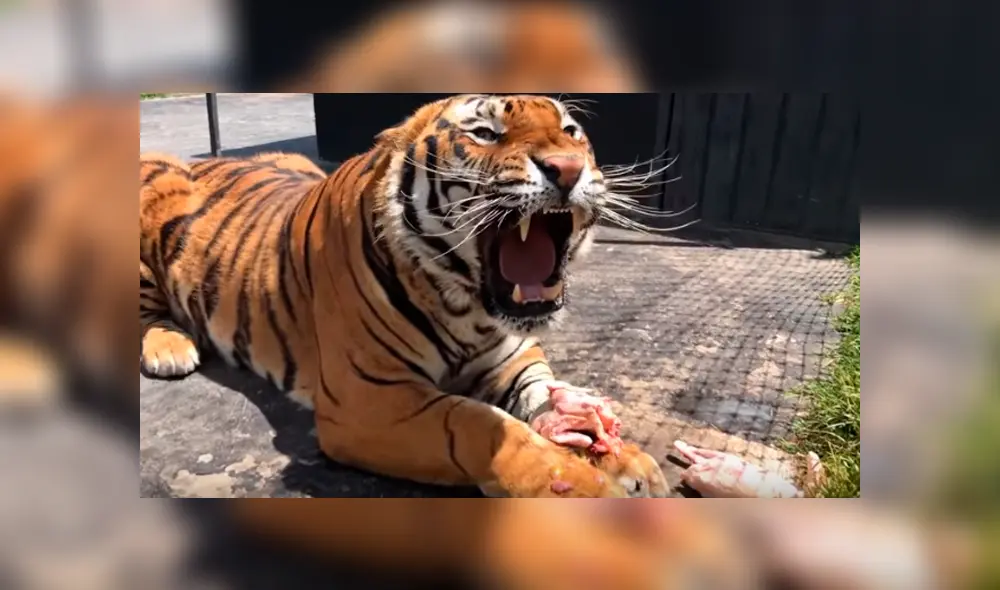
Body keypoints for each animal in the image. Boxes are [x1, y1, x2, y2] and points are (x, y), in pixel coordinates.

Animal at [140, 94, 667, 498]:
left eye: (570, 130)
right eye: (485, 133)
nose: (569, 168)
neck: (467, 307)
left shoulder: (511, 358)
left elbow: (544, 395)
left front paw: (626, 460)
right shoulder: (369, 399)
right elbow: (477, 424)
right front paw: (583, 488)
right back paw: (170, 347)